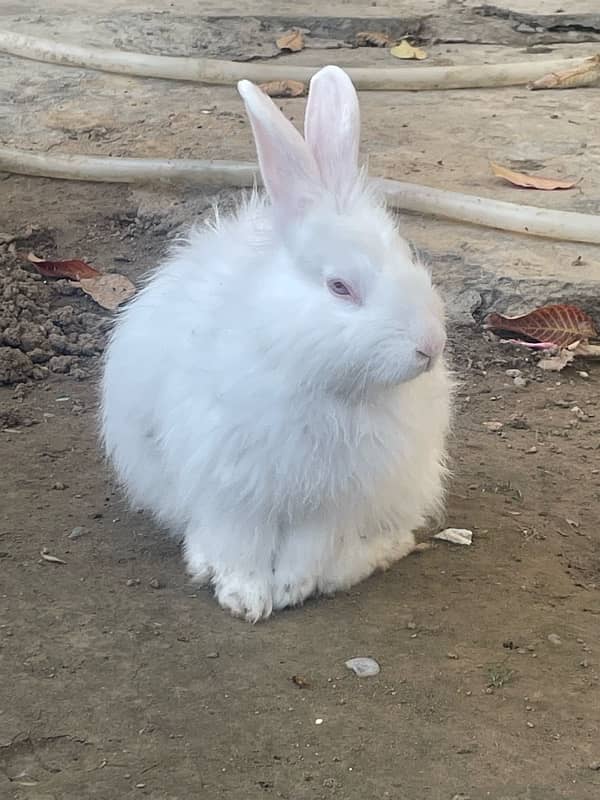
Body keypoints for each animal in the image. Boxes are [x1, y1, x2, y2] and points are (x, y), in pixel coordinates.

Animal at [102, 65, 450, 620]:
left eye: (408, 256)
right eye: (339, 287)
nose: (429, 347)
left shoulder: (333, 502)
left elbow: (308, 548)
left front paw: (291, 587)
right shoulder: (234, 486)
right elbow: (239, 543)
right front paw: (244, 597)